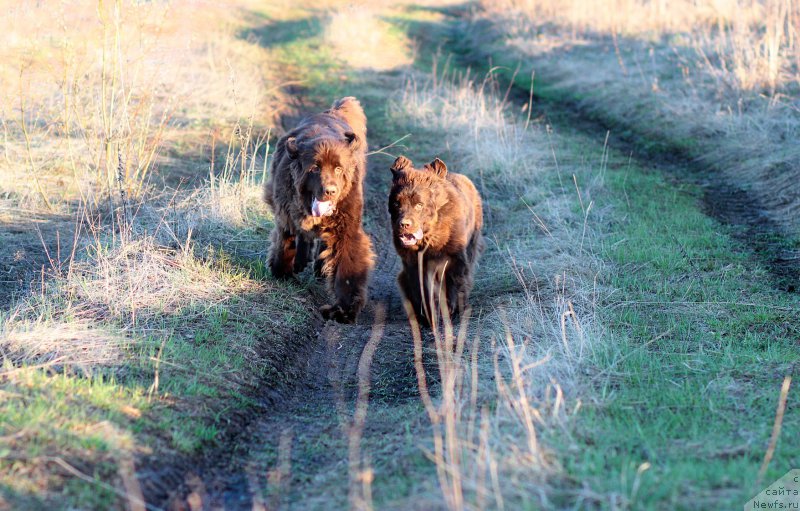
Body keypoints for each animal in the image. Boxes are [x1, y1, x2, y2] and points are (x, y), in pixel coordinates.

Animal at [264, 96, 374, 322]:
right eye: (315, 168)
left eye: (339, 169)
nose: (330, 191)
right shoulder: (285, 211)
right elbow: (285, 240)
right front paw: (282, 272)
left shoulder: (346, 227)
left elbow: (346, 266)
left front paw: (343, 310)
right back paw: (301, 260)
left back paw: (320, 268)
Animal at [386, 155, 482, 324]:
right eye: (397, 203)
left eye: (419, 204)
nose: (404, 224)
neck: (430, 237)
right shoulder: (413, 263)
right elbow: (421, 288)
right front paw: (428, 315)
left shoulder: (455, 259)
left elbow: (452, 282)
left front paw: (450, 310)